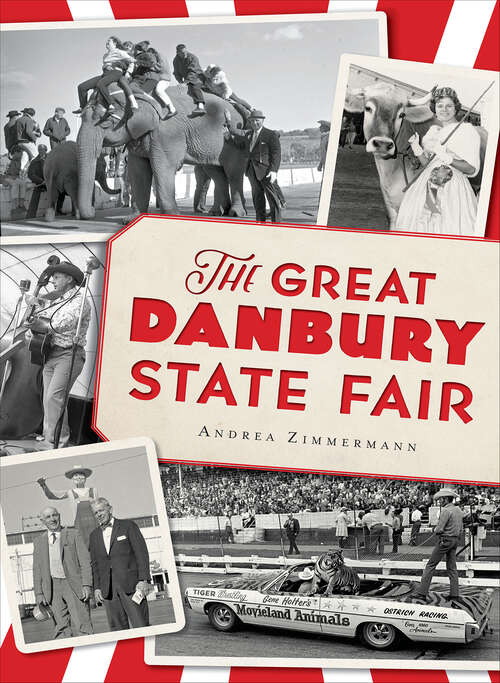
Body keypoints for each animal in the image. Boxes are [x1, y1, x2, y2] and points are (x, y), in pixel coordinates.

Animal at [75, 84, 248, 220]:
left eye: (105, 123)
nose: (92, 210)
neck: (138, 93)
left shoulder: (167, 134)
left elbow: (163, 167)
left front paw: (172, 217)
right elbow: (138, 171)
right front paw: (131, 220)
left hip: (235, 140)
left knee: (233, 172)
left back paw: (235, 213)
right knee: (216, 172)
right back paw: (218, 212)